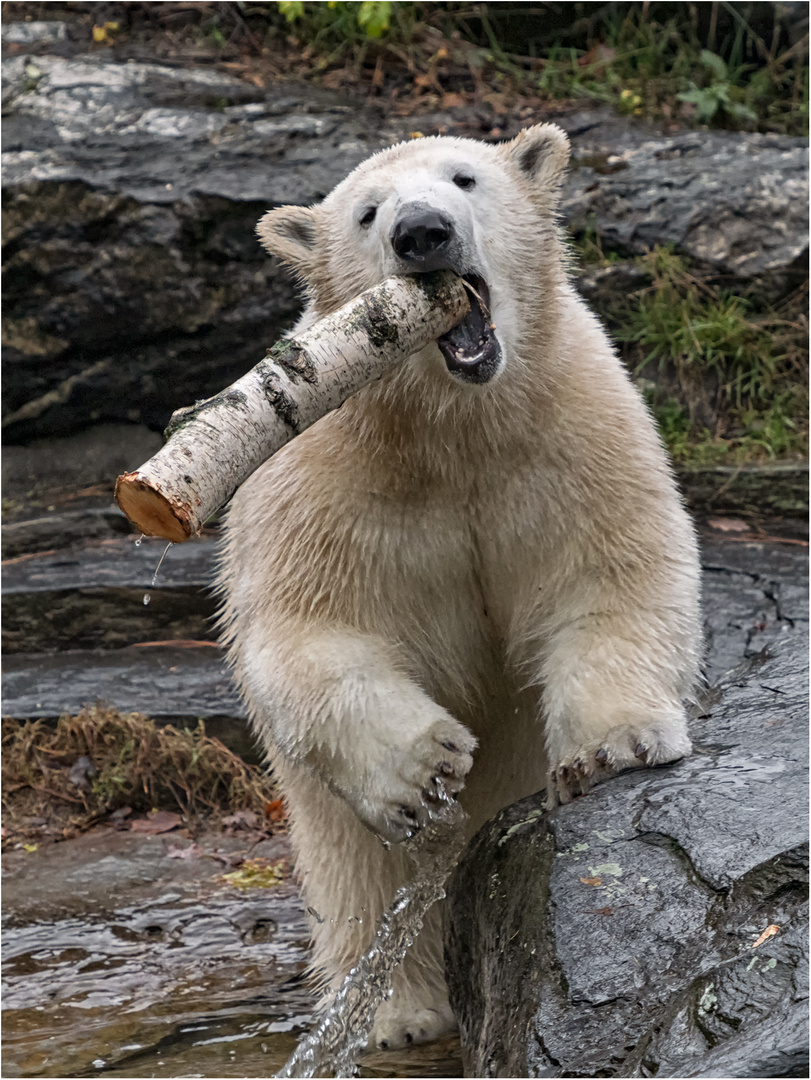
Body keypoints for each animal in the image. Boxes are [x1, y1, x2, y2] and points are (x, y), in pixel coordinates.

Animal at [217, 124, 704, 1045]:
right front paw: (424, 762)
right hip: (325, 818)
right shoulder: (326, 476)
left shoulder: (572, 433)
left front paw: (614, 746)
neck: (457, 422)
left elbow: (611, 571)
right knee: (366, 873)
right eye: (368, 212)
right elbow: (310, 629)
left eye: (464, 178)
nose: (421, 231)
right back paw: (396, 1013)